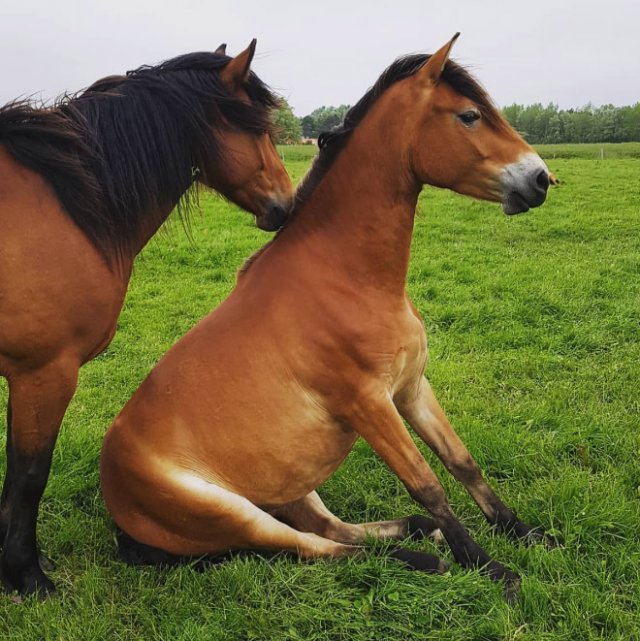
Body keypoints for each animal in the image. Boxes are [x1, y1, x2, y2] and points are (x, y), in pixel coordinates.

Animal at [0, 41, 294, 596]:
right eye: (259, 127)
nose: (287, 206)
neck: (66, 202)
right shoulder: (42, 374)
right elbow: (28, 476)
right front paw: (26, 576)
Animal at [102, 33, 552, 596]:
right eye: (470, 116)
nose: (541, 178)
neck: (345, 277)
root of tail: (113, 495)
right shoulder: (369, 404)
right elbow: (427, 484)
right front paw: (491, 568)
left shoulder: (410, 389)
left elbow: (461, 462)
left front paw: (525, 533)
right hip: (231, 514)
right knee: (313, 549)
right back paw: (428, 559)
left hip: (289, 487)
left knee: (332, 529)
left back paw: (418, 535)